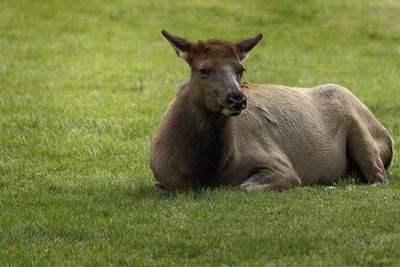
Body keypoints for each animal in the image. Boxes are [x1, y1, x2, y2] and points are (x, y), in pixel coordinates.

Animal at [151, 30, 394, 192]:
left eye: (241, 69)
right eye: (203, 69)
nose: (237, 99)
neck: (202, 171)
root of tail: (388, 138)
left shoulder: (280, 165)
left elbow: (243, 186)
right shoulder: (162, 179)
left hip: (362, 132)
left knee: (380, 180)